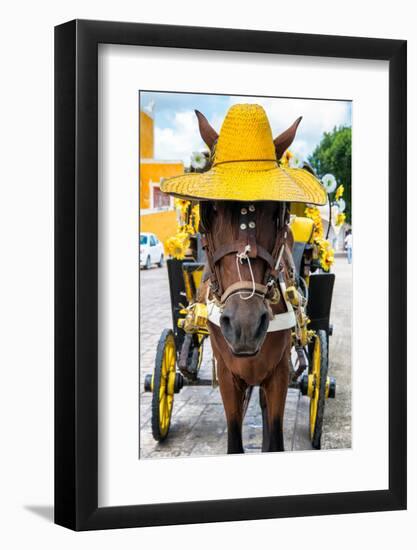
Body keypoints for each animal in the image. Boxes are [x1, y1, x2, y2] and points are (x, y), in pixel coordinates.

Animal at [194, 110, 300, 454]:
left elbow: (275, 438)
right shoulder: (227, 375)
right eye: (209, 209)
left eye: (277, 210)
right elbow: (234, 440)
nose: (245, 324)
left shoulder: (279, 372)